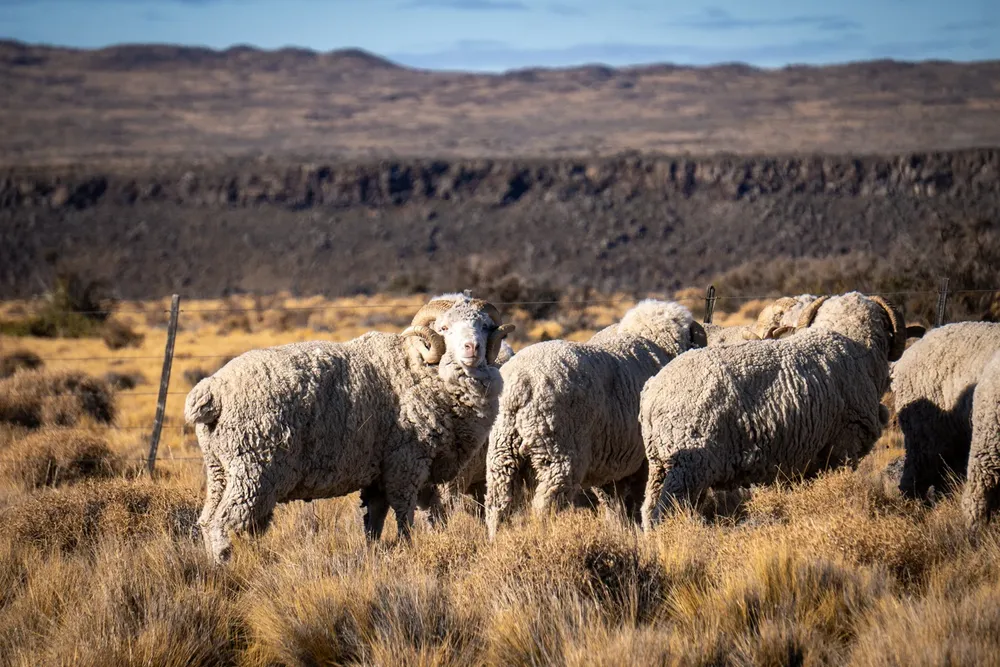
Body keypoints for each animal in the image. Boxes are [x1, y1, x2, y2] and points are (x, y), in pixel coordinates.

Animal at [184, 294, 514, 562]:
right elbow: (404, 513)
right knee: (221, 522)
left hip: (220, 469)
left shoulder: (382, 473)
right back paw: (224, 566)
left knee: (206, 519)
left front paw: (375, 552)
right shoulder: (404, 463)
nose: (472, 348)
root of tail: (213, 389)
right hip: (253, 471)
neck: (419, 366)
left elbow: (377, 520)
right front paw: (408, 547)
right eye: (444, 328)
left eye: (485, 326)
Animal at [484, 299, 707, 538]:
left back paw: (496, 540)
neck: (653, 342)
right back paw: (542, 537)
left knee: (498, 504)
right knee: (544, 505)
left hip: (502, 449)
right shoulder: (642, 460)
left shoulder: (609, 456)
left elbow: (612, 502)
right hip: (560, 453)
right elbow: (637, 499)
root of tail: (520, 383)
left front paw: (621, 531)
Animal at [640, 291, 906, 532]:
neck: (849, 343)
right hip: (689, 464)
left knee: (649, 508)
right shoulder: (845, 444)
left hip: (660, 462)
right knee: (665, 510)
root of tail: (653, 391)